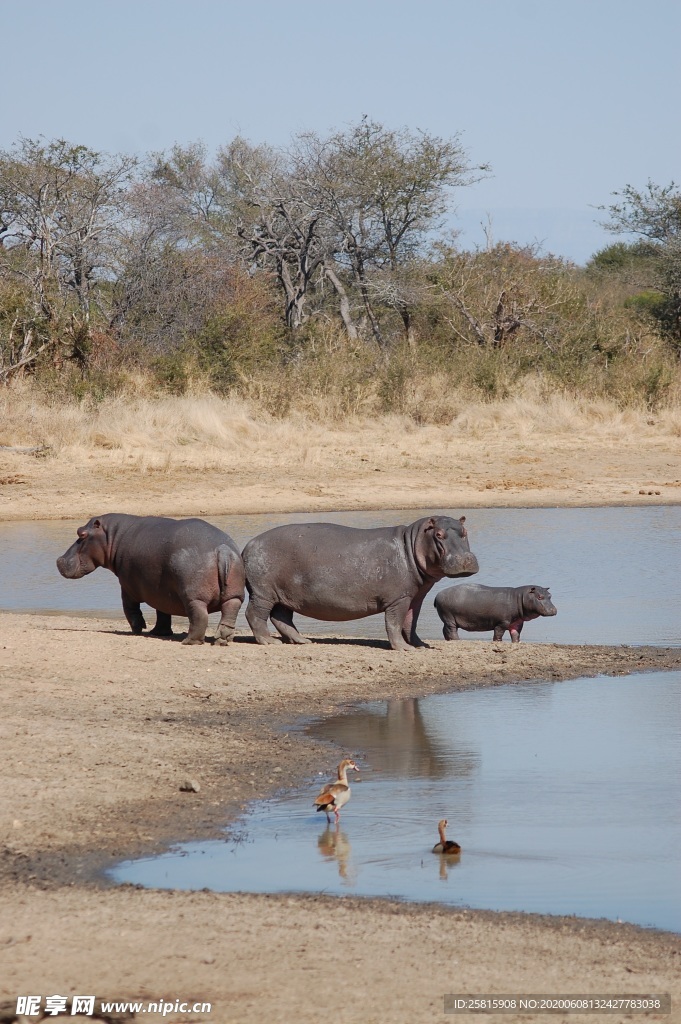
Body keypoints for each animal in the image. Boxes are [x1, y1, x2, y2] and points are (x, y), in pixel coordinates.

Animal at [56, 516, 244, 643]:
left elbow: (130, 609)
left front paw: (138, 630)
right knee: (229, 612)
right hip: (234, 595)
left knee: (199, 617)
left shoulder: (127, 585)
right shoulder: (162, 592)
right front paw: (159, 632)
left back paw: (189, 642)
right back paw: (222, 640)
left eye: (81, 533)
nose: (59, 560)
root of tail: (222, 549)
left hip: (193, 597)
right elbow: (162, 612)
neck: (113, 536)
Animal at [242, 516, 477, 651]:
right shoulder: (398, 599)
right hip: (263, 593)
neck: (411, 542)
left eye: (465, 532)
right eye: (439, 534)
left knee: (281, 617)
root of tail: (249, 544)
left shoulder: (415, 596)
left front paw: (420, 645)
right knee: (255, 614)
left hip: (286, 595)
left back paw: (303, 641)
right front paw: (403, 649)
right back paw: (269, 642)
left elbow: (411, 622)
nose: (466, 559)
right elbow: (394, 623)